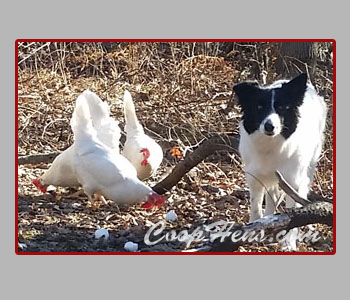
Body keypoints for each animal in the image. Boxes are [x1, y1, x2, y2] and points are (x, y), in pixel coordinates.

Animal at [234, 73, 326, 251]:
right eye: (259, 107)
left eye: (282, 108)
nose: (270, 126)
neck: (271, 145)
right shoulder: (255, 177)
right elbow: (256, 207)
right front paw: (254, 231)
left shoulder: (292, 181)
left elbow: (294, 212)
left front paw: (288, 243)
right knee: (273, 197)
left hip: (309, 166)